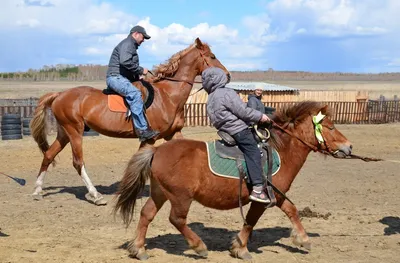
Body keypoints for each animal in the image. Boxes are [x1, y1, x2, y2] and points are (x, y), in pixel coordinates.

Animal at [29, 37, 230, 206]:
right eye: (212, 56)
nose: (228, 75)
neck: (167, 95)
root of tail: (59, 94)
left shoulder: (173, 133)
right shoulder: (149, 138)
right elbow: (138, 162)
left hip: (64, 133)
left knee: (49, 154)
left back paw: (37, 190)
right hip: (74, 132)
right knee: (78, 162)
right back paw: (95, 195)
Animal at [113, 101, 354, 262]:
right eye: (331, 126)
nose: (349, 146)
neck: (280, 151)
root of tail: (156, 150)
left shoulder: (277, 195)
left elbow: (292, 211)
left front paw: (303, 239)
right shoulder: (262, 198)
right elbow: (250, 221)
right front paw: (240, 248)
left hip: (160, 193)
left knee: (146, 214)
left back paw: (139, 249)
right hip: (180, 197)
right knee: (177, 219)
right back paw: (199, 246)